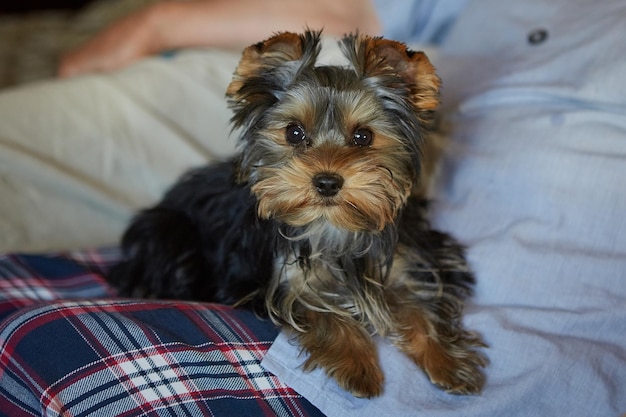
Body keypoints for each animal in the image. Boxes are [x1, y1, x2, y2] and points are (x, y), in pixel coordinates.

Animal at [109, 30, 486, 398]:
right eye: (294, 132)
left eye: (363, 136)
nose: (327, 181)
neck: (331, 225)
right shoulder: (281, 282)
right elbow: (321, 313)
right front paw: (358, 367)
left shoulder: (409, 260)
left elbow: (423, 305)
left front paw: (450, 362)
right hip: (171, 234)